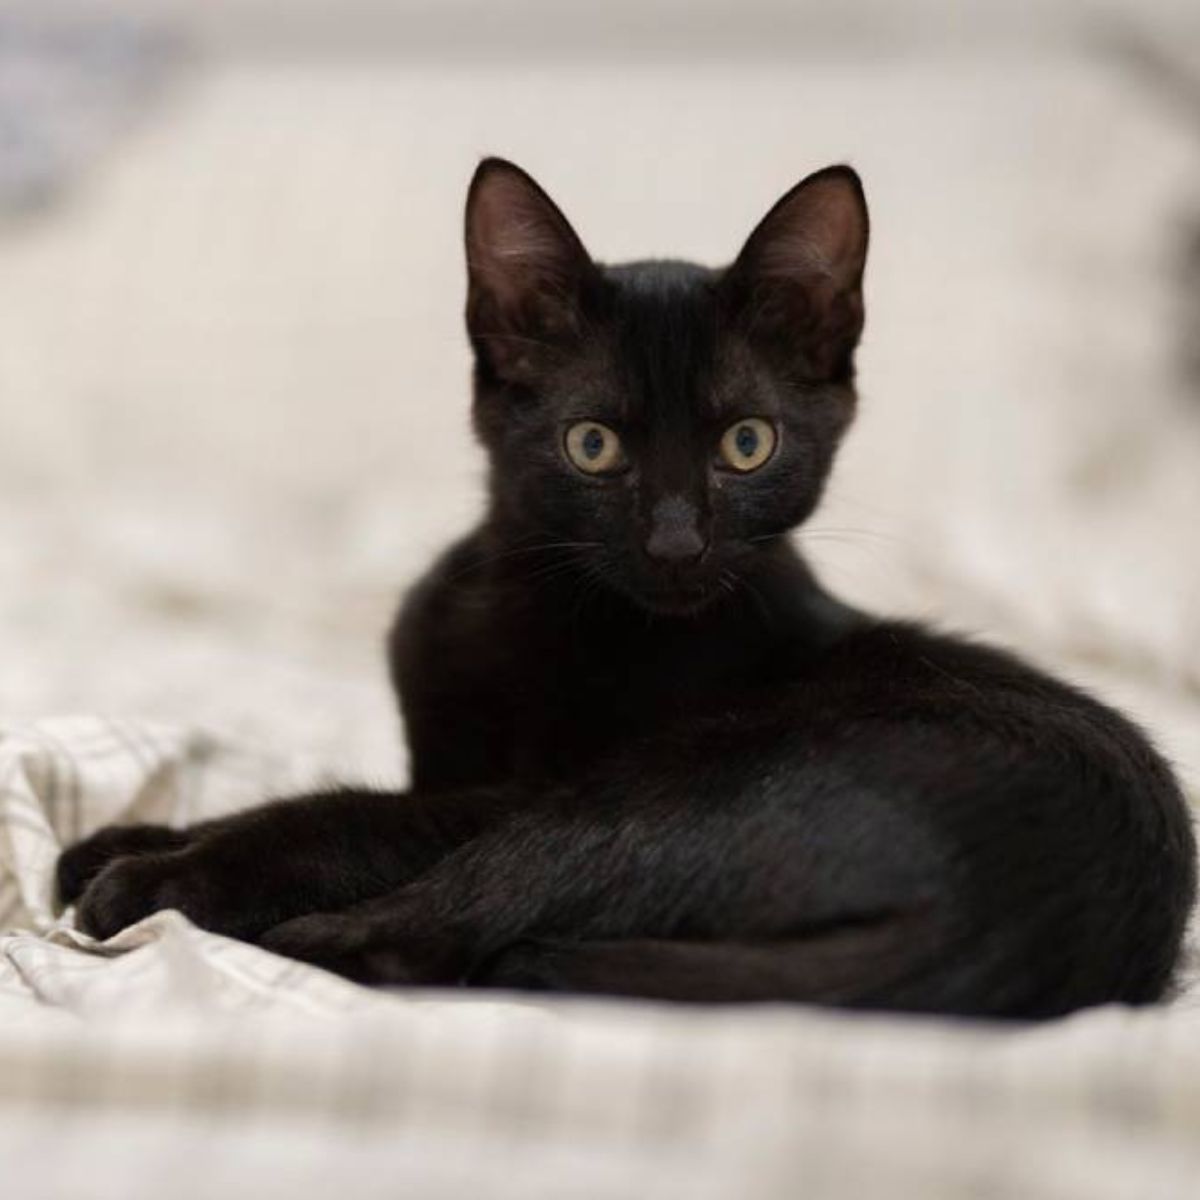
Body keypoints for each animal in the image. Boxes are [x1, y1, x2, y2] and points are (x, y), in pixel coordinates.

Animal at [60, 154, 1195, 1017]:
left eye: (747, 443)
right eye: (594, 445)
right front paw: (122, 837)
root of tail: (1028, 938)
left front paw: (160, 872)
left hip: (662, 792)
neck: (520, 600)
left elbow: (343, 813)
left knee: (430, 944)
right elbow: (315, 789)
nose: (678, 541)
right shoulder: (442, 764)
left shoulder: (506, 792)